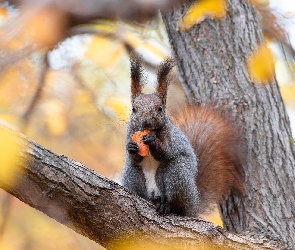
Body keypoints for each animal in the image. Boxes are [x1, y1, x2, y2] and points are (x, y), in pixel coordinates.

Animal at [121, 55, 246, 216]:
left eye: (160, 108)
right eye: (134, 109)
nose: (146, 122)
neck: (151, 131)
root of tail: (194, 202)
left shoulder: (171, 138)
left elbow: (166, 151)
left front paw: (153, 142)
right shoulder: (130, 133)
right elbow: (133, 157)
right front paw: (131, 147)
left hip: (177, 175)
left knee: (178, 205)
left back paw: (167, 206)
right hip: (132, 175)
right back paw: (150, 200)